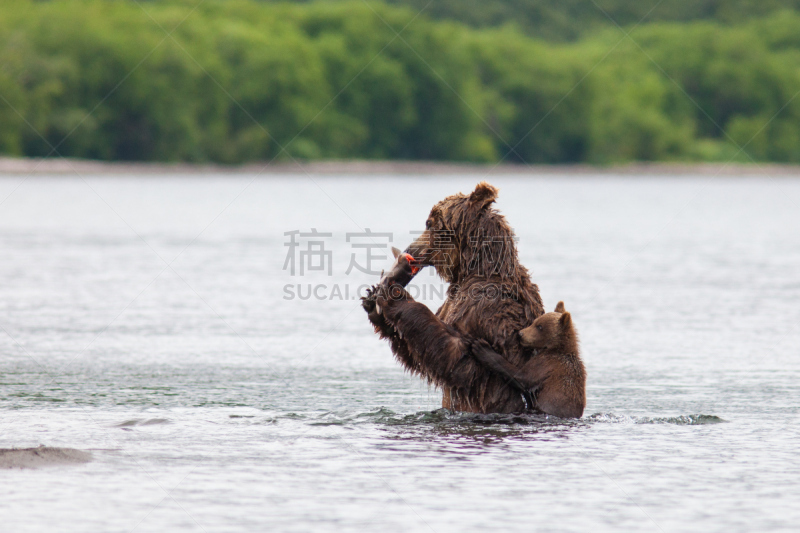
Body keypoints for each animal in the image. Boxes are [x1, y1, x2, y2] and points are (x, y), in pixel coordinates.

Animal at [360, 182, 544, 412]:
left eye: (428, 223)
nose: (410, 250)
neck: (473, 270)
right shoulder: (451, 303)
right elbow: (418, 351)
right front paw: (372, 301)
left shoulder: (488, 307)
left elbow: (464, 363)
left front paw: (395, 294)